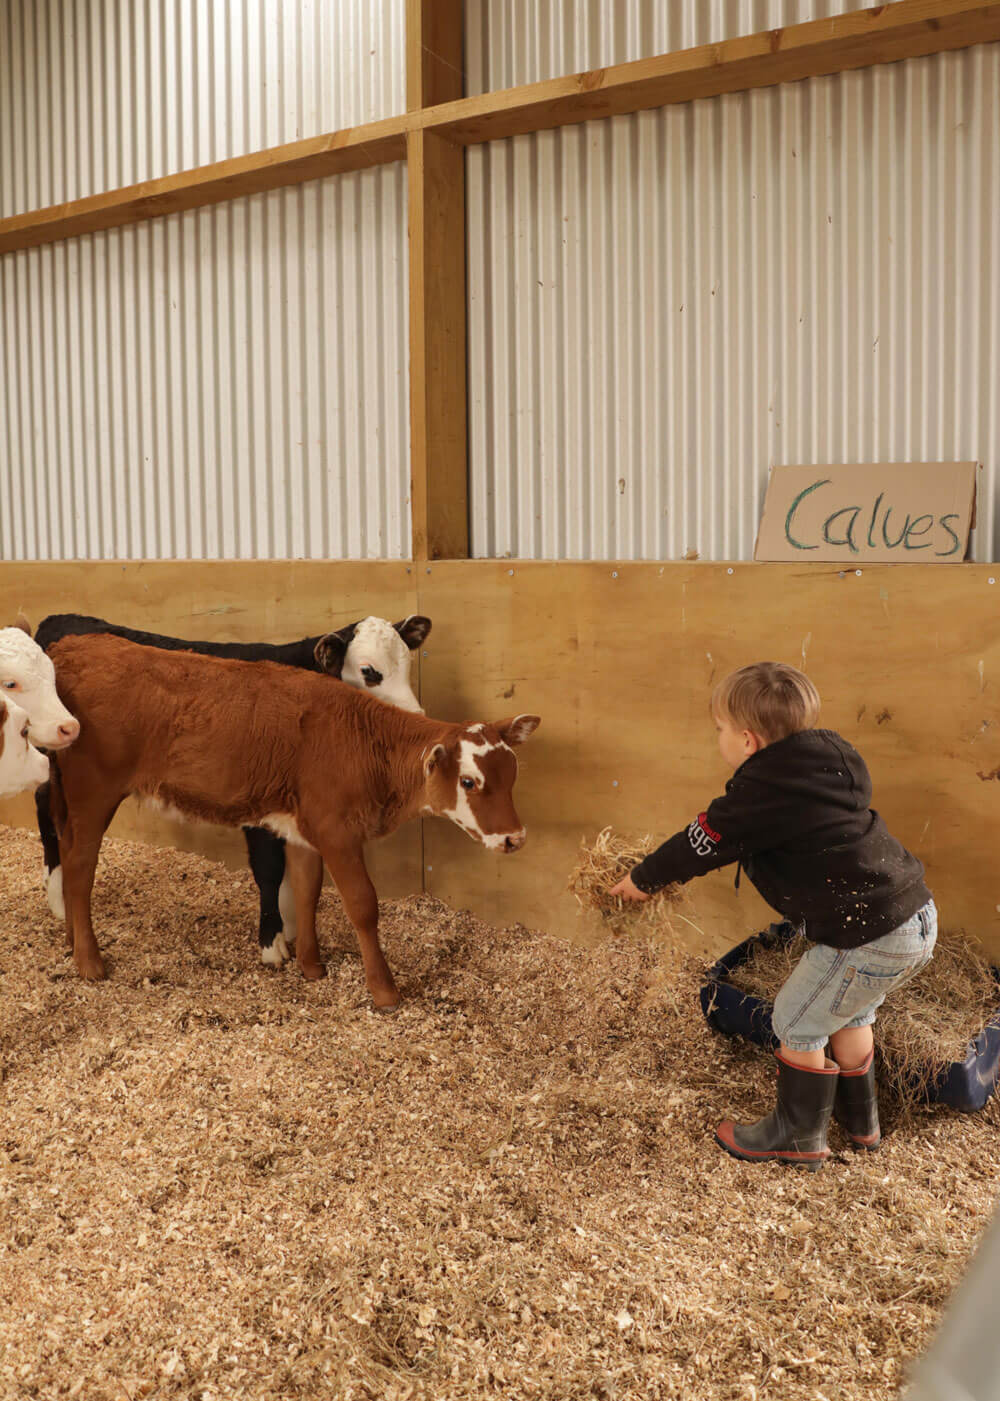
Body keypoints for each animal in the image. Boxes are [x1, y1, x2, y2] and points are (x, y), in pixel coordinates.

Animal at [30, 613, 428, 963]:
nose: (417, 720)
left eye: (408, 664)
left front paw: (291, 931)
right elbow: (269, 869)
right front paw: (272, 943)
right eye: (369, 671)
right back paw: (58, 899)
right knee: (47, 817)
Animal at [46, 636, 537, 1008]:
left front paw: (312, 967)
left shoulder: (305, 828)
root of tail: (76, 646)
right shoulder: (337, 832)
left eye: (513, 773)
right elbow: (362, 905)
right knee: (80, 866)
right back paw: (89, 962)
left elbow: (306, 891)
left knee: (66, 852)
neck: (363, 741)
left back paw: (70, 941)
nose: (514, 838)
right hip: (93, 793)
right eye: (470, 781)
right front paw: (384, 992)